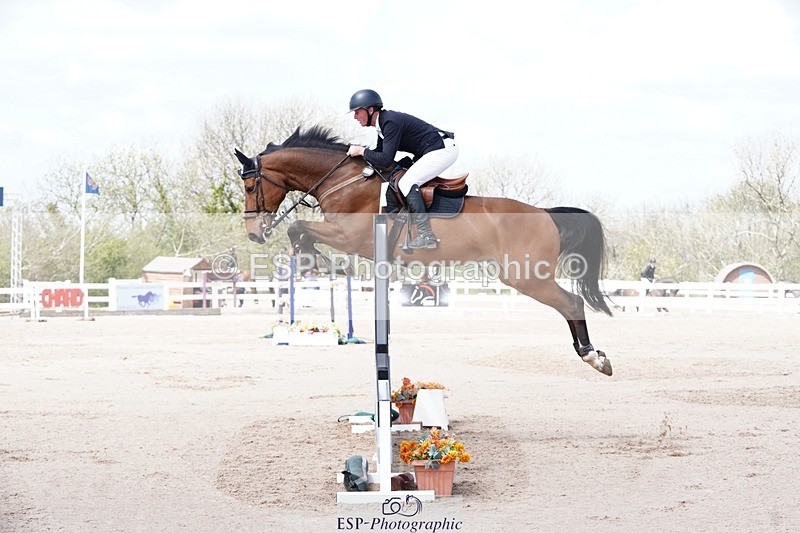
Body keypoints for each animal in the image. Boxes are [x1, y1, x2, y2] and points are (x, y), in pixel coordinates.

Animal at [234, 126, 614, 376]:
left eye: (250, 186)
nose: (254, 234)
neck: (343, 180)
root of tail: (546, 213)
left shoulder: (349, 235)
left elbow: (297, 227)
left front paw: (324, 261)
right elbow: (299, 231)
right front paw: (318, 260)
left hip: (527, 277)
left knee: (571, 303)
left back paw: (594, 358)